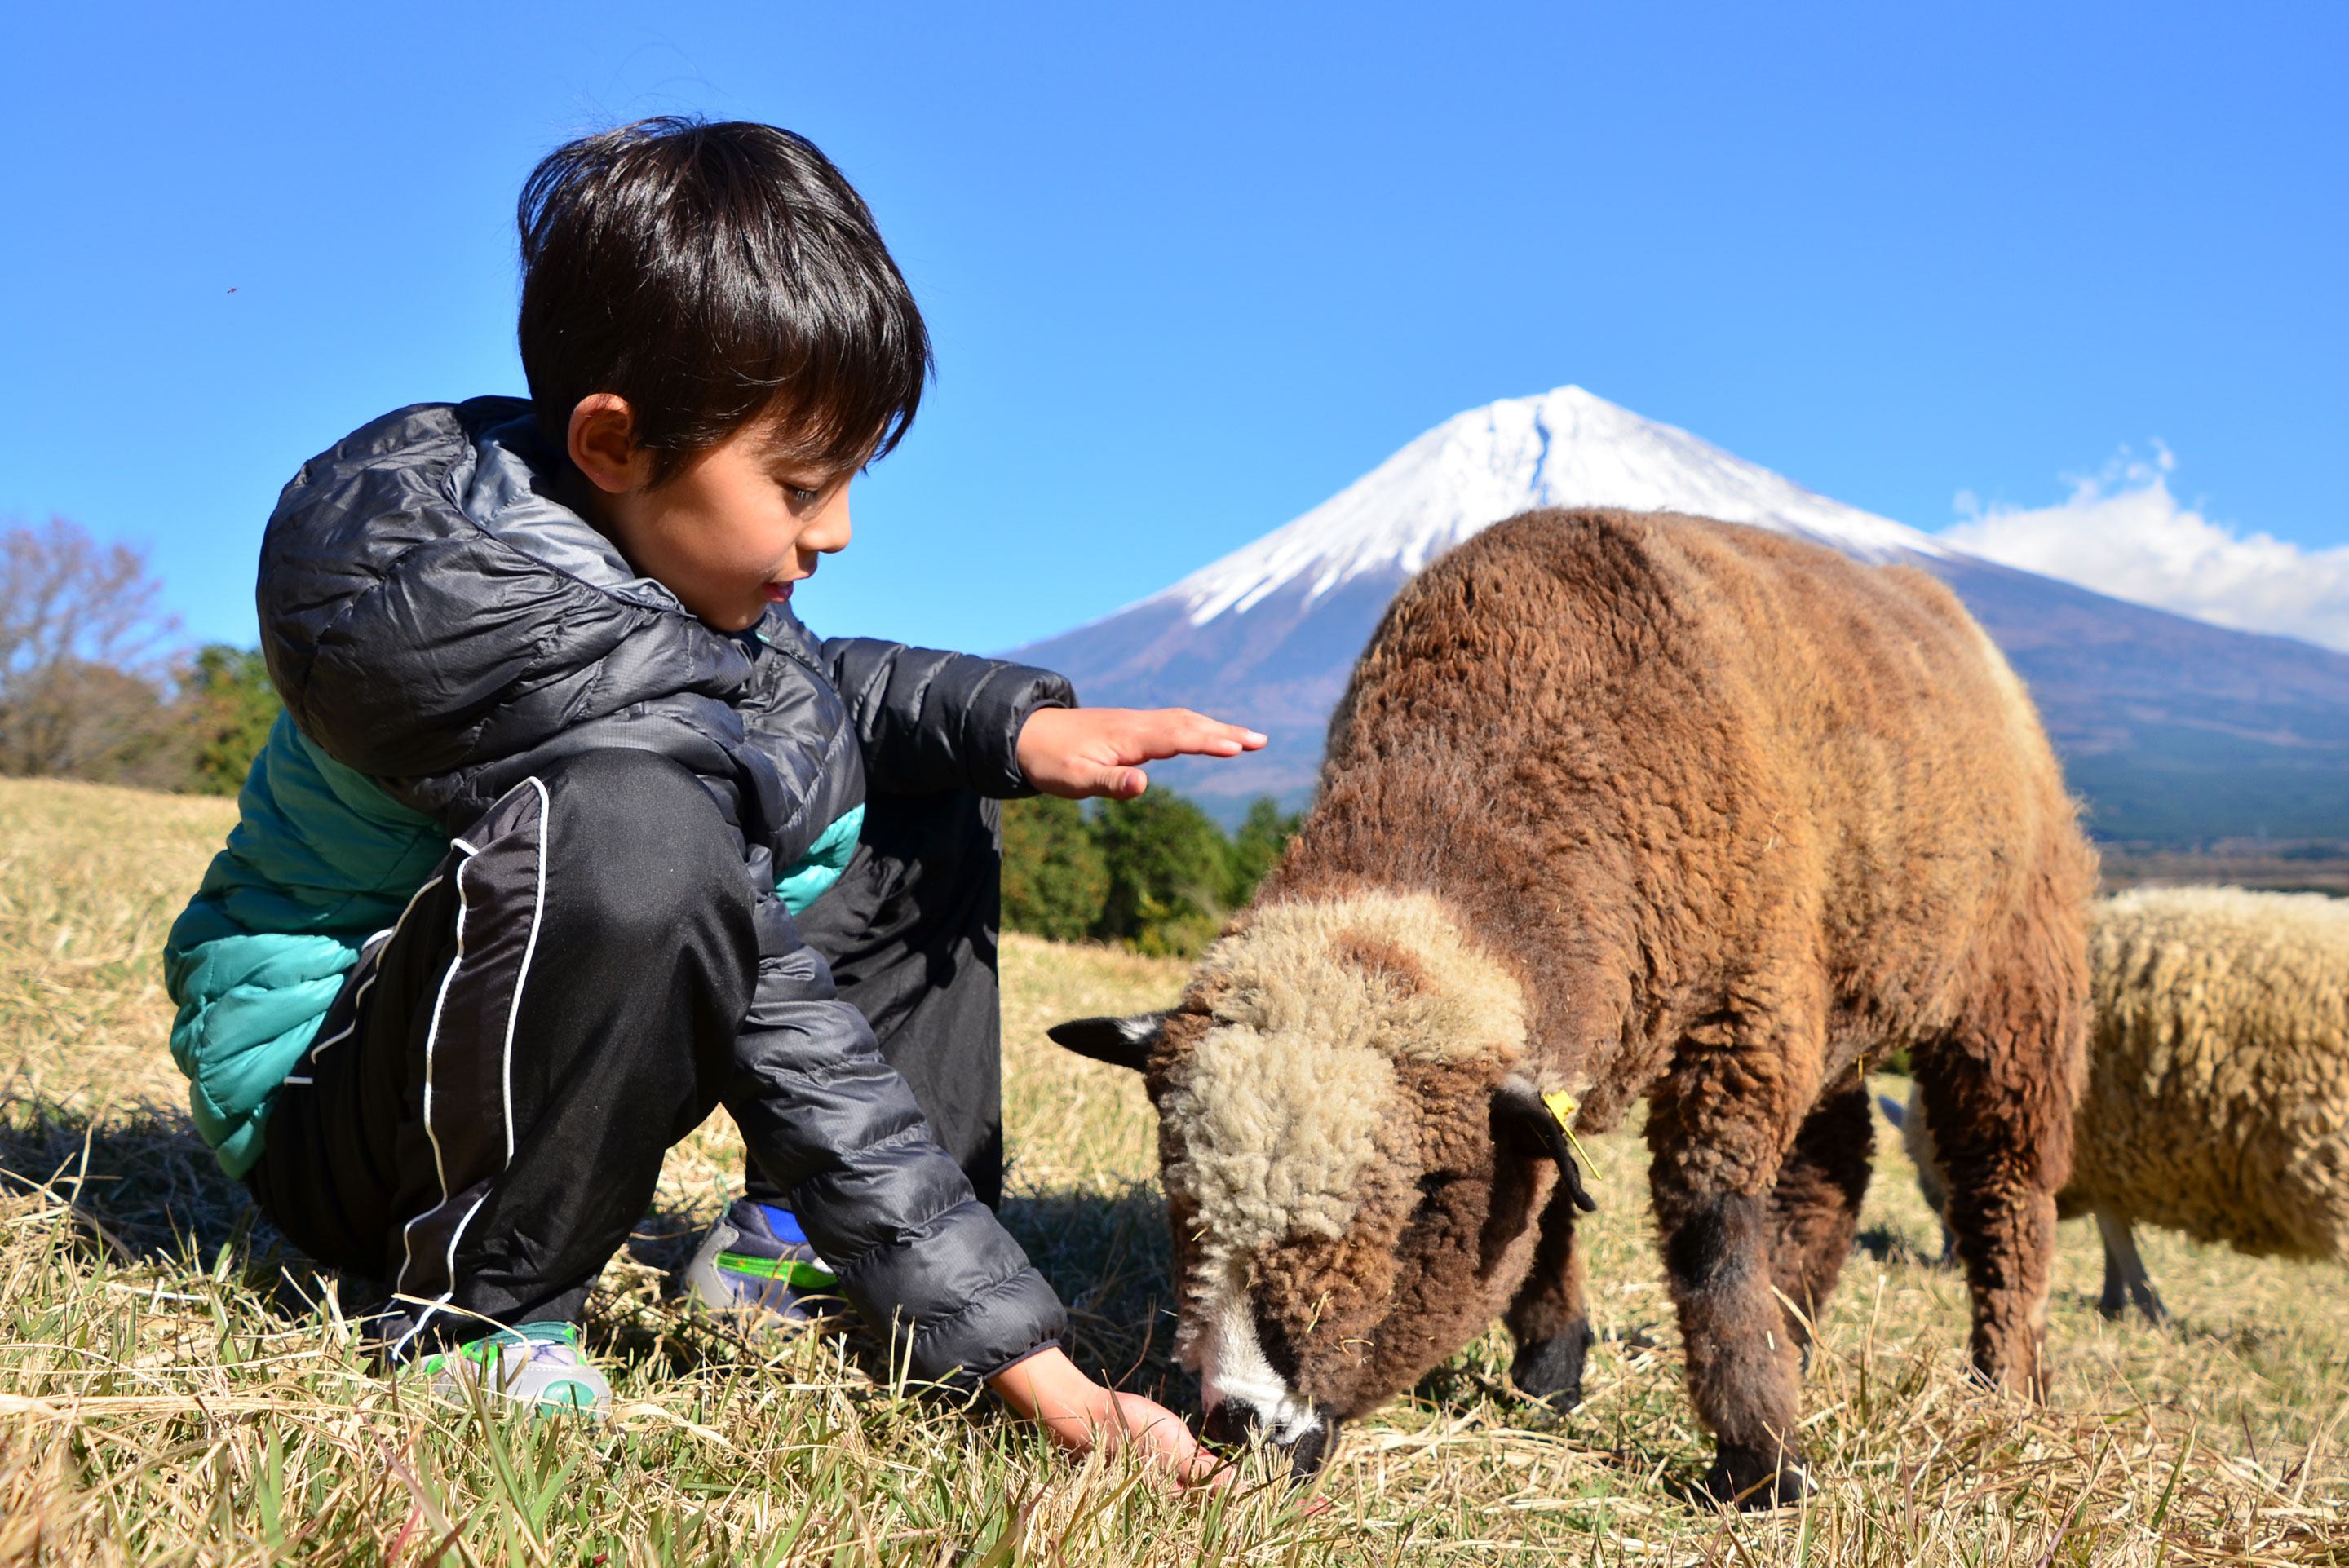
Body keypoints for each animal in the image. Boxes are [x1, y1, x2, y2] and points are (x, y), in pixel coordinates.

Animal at [1057, 511, 2104, 1502]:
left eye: (1422, 1202)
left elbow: (1712, 1235)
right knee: (1834, 1166)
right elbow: (1550, 1195)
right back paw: (1797, 1336)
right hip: (1839, 991)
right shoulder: (1597, 1046)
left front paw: (1760, 1466)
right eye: (1176, 1188)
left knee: (2003, 1188)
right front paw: (1553, 1374)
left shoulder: (1741, 1020)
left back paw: (2006, 1385)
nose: (1239, 1423)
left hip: (2015, 987)